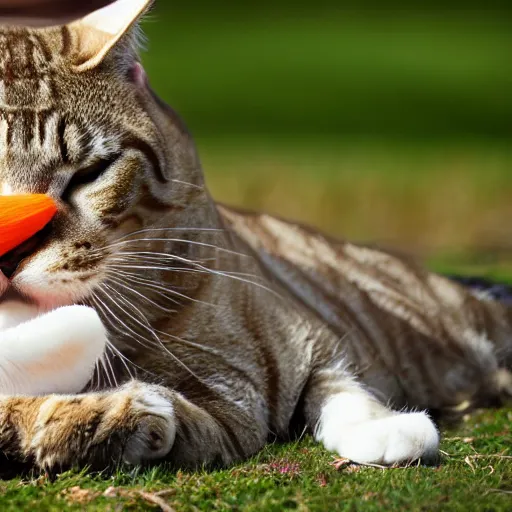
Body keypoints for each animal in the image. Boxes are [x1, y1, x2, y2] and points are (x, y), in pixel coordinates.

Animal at [0, 0, 508, 474]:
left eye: (90, 173)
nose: (12, 253)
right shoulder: (228, 409)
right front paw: (99, 413)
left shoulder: (272, 367)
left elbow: (332, 381)